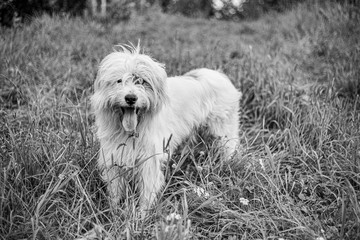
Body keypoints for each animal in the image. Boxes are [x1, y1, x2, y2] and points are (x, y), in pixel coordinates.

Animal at [90, 44, 242, 211]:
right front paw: (113, 210)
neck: (130, 131)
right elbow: (115, 189)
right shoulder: (113, 157)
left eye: (141, 81)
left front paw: (142, 214)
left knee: (230, 147)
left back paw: (226, 165)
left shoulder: (149, 161)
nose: (131, 98)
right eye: (119, 80)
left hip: (224, 131)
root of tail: (217, 74)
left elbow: (147, 191)